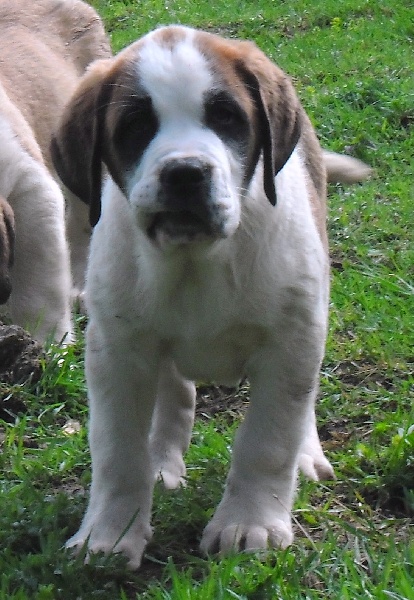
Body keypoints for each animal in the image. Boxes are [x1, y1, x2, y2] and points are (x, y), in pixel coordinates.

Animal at [52, 25, 371, 568]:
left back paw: (307, 455)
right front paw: (110, 533)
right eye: (136, 125)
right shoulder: (118, 351)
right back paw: (163, 459)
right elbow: (118, 451)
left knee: (300, 403)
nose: (185, 172)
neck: (197, 263)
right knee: (174, 392)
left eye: (226, 118)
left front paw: (249, 523)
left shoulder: (290, 340)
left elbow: (268, 438)